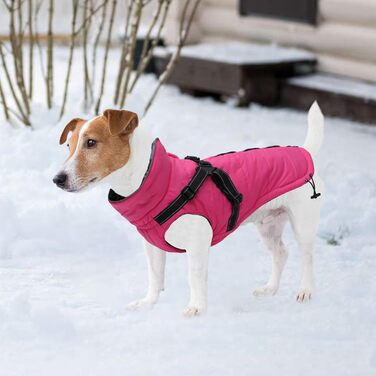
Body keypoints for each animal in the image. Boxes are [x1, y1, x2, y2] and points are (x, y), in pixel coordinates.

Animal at [53, 101, 324, 316]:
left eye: (91, 143)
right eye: (68, 146)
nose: (57, 179)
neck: (152, 179)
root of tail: (304, 152)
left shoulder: (198, 242)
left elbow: (194, 276)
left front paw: (197, 308)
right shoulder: (152, 246)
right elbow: (154, 276)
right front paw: (148, 304)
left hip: (303, 223)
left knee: (307, 257)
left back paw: (306, 290)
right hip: (268, 225)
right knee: (281, 253)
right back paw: (270, 289)